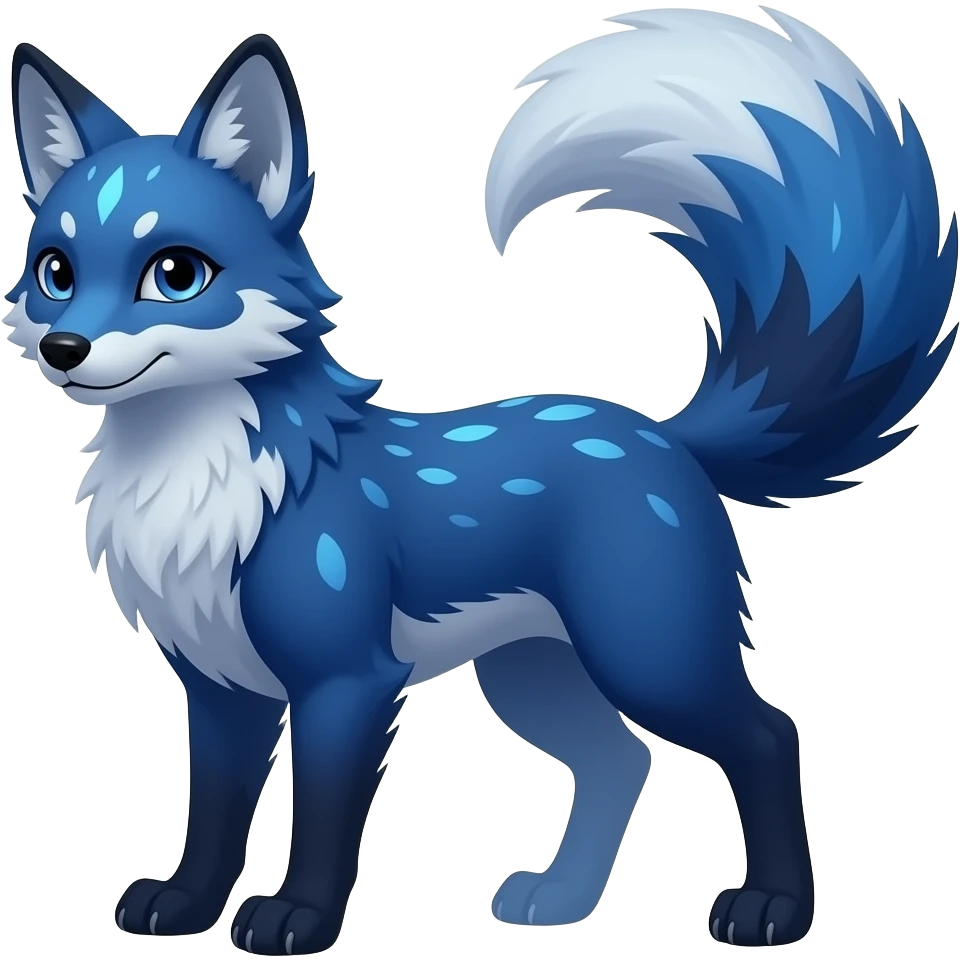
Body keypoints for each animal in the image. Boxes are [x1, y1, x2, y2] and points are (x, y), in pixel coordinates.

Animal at [4, 7, 956, 955]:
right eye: (55, 272)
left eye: (175, 273)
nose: (64, 349)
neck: (204, 481)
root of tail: (662, 433)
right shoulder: (218, 687)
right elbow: (213, 815)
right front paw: (185, 908)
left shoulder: (345, 682)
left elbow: (322, 817)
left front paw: (299, 918)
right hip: (532, 675)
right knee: (623, 759)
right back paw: (564, 900)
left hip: (650, 656)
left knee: (768, 737)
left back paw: (774, 909)